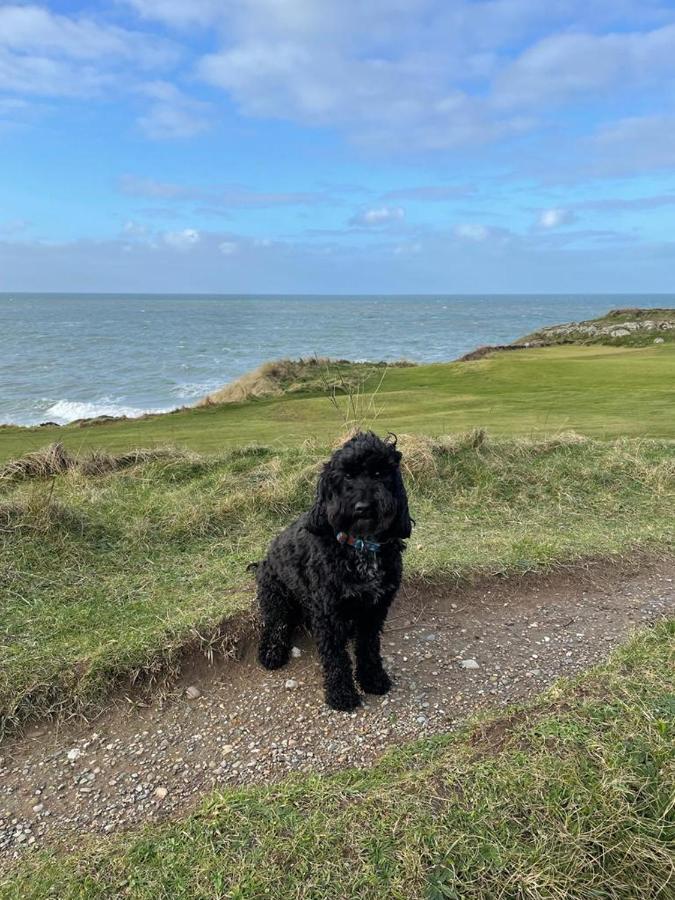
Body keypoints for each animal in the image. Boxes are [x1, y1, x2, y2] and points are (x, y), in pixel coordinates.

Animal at [255, 430, 410, 712]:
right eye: (347, 475)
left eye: (379, 473)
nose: (363, 507)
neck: (360, 545)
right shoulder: (328, 613)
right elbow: (335, 657)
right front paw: (342, 694)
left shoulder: (375, 609)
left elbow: (369, 647)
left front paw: (373, 678)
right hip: (277, 596)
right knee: (276, 626)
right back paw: (272, 652)